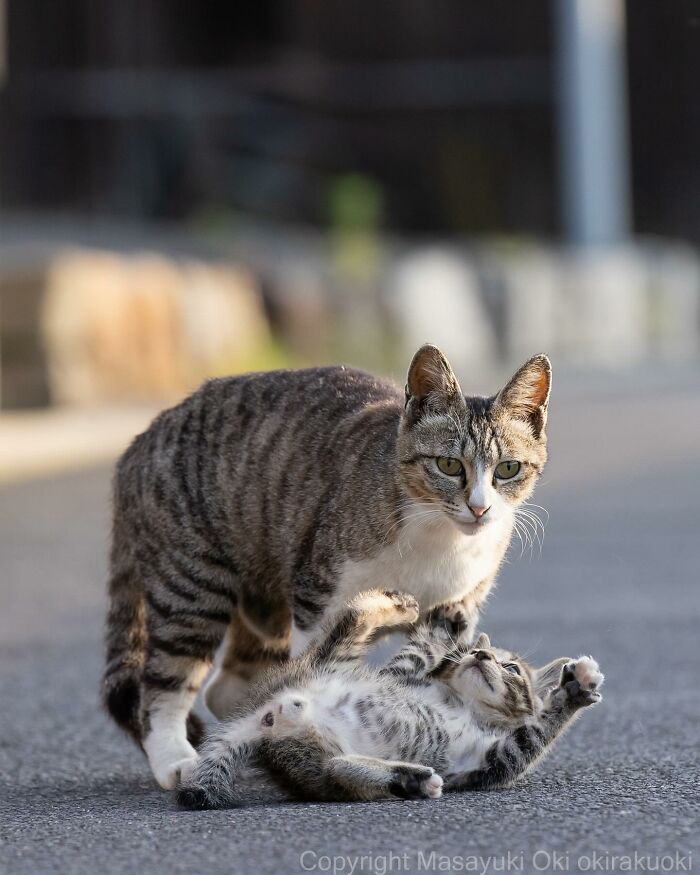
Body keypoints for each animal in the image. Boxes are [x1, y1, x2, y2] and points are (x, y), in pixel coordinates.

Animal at [104, 342, 552, 788]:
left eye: (508, 469)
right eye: (448, 465)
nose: (479, 508)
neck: (439, 538)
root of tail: (141, 440)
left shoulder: (459, 609)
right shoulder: (316, 597)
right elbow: (322, 662)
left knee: (227, 683)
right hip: (192, 584)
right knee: (165, 682)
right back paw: (177, 759)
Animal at [176, 588, 600, 808]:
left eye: (510, 667)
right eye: (474, 653)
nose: (480, 656)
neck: (464, 703)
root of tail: (270, 710)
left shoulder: (491, 760)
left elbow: (537, 731)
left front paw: (575, 689)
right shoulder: (398, 674)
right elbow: (421, 648)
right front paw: (450, 620)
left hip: (310, 754)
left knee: (338, 769)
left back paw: (409, 780)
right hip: (331, 665)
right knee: (354, 616)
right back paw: (399, 605)